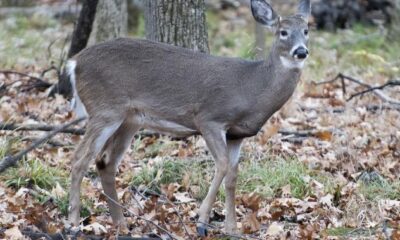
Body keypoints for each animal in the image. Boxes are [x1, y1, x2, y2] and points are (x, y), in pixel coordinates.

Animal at [67, 0, 312, 236]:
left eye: (306, 30)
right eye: (283, 32)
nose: (301, 51)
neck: (253, 88)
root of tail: (74, 63)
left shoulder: (237, 134)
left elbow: (232, 176)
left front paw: (232, 229)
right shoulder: (209, 118)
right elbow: (222, 165)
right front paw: (202, 221)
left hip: (129, 119)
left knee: (105, 161)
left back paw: (121, 224)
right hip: (105, 109)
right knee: (79, 159)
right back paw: (73, 224)